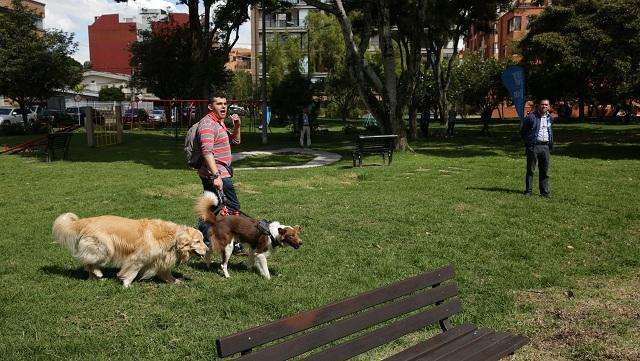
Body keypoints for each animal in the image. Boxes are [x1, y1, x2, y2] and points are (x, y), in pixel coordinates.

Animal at [53, 211, 208, 286]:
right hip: (105, 249)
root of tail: (86, 221)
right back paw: (98, 273)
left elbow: (166, 273)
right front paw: (126, 283)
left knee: (89, 265)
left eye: (202, 240)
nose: (207, 249)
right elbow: (132, 271)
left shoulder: (160, 260)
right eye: (198, 241)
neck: (172, 237)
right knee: (89, 263)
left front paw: (174, 281)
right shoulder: (138, 258)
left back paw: (96, 278)